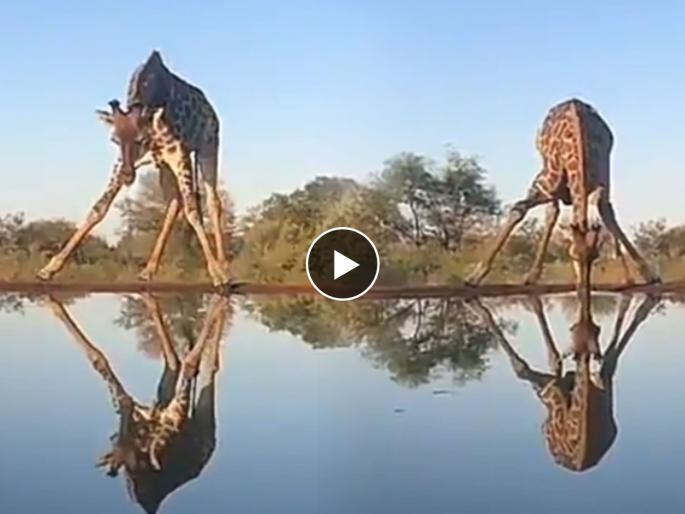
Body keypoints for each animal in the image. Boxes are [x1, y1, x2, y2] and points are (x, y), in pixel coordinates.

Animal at [36, 50, 231, 286]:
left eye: (141, 139)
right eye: (114, 140)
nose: (128, 176)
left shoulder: (179, 154)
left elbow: (192, 210)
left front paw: (217, 274)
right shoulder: (125, 161)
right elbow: (99, 208)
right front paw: (50, 268)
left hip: (208, 147)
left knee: (213, 201)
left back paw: (224, 268)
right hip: (164, 167)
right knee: (174, 202)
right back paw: (148, 270)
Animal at [465, 98, 660, 287]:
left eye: (595, 256)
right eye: (573, 255)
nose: (583, 289)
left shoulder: (603, 184)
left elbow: (608, 216)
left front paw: (646, 275)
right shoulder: (544, 185)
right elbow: (519, 208)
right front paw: (474, 276)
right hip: (550, 178)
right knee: (550, 212)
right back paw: (531, 276)